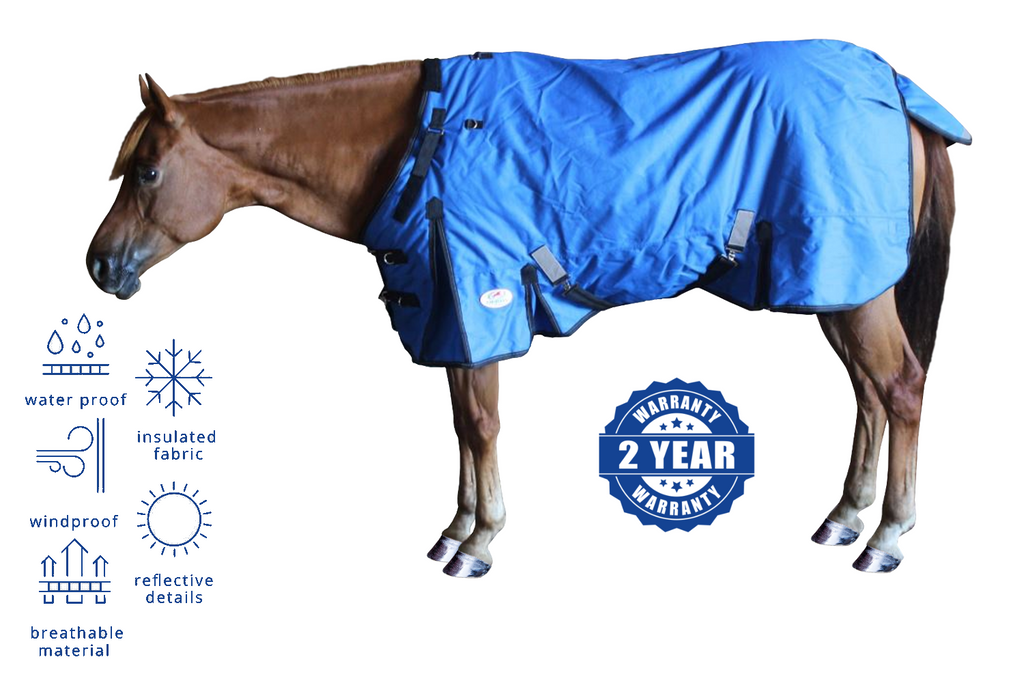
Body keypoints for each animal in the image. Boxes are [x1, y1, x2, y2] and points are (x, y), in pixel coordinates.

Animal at [86, 43, 966, 577]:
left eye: (149, 171)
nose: (99, 266)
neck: (423, 143)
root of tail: (894, 87)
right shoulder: (448, 312)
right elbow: (461, 425)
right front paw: (457, 529)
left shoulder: (480, 299)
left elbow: (481, 424)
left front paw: (478, 543)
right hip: (836, 286)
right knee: (867, 394)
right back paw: (844, 516)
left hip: (854, 286)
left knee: (899, 389)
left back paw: (887, 536)